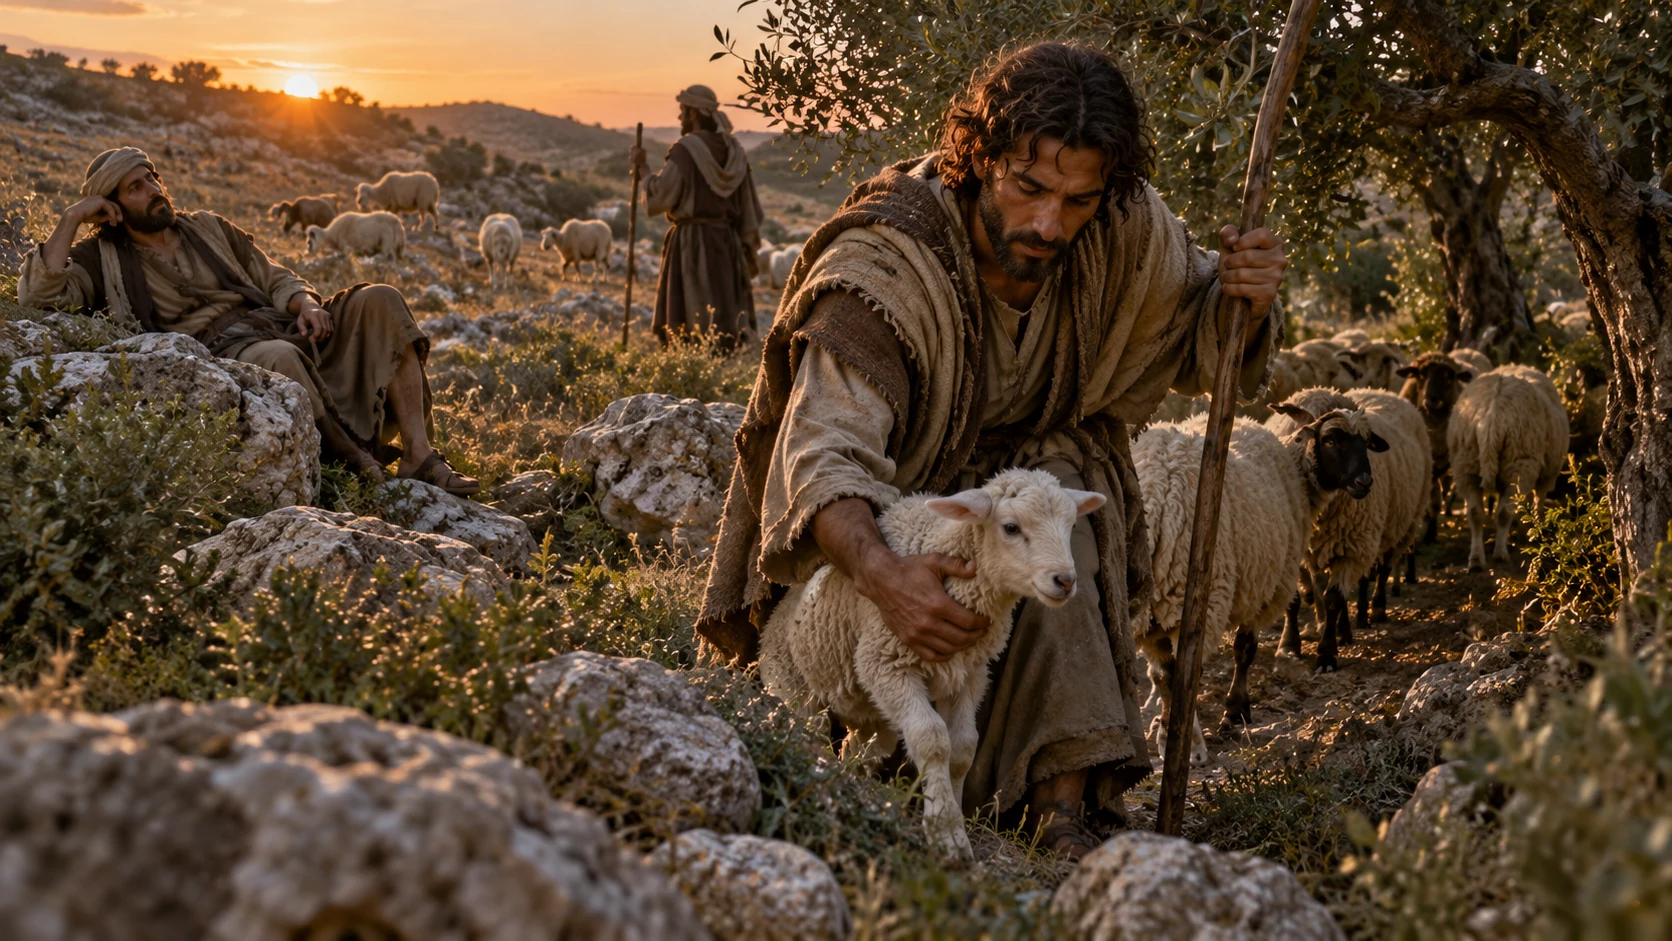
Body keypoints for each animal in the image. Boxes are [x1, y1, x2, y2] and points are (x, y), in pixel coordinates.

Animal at [759, 468, 1105, 859]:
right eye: (1011, 528)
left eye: (1070, 524)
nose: (1065, 580)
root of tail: (776, 613)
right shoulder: (885, 662)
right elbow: (932, 740)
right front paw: (946, 833)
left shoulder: (970, 673)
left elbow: (964, 748)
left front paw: (956, 817)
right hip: (792, 685)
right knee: (808, 730)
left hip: (872, 714)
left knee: (862, 748)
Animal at [1132, 403, 1384, 763]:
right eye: (1331, 440)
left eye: (1366, 442)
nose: (1365, 482)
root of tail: (1155, 498)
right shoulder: (1264, 588)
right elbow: (1244, 649)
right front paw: (1236, 709)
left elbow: (1164, 674)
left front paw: (1169, 729)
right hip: (1196, 598)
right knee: (1183, 674)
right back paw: (1193, 746)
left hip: (1151, 607)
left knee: (1166, 674)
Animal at [1447, 365, 1569, 570]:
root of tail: (1491, 417)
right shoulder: (1546, 476)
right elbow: (1538, 502)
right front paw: (1537, 530)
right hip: (1519, 463)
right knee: (1505, 512)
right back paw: (1500, 553)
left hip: (1466, 464)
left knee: (1475, 513)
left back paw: (1476, 559)